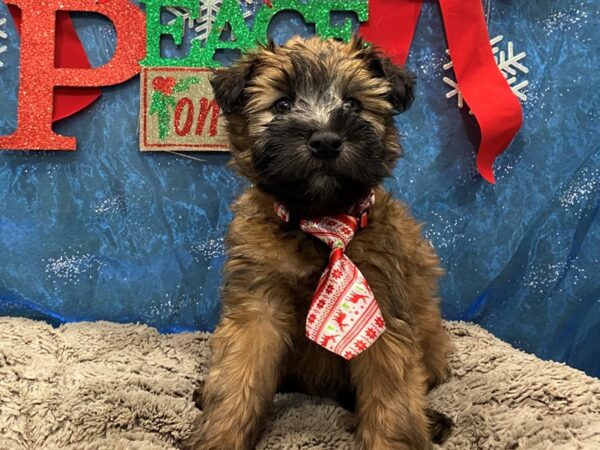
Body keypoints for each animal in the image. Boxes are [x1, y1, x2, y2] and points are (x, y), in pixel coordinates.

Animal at [186, 36, 450, 450]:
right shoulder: (257, 308)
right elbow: (237, 380)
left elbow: (391, 402)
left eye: (353, 104)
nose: (325, 141)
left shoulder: (381, 313)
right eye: (282, 104)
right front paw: (220, 436)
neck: (318, 224)